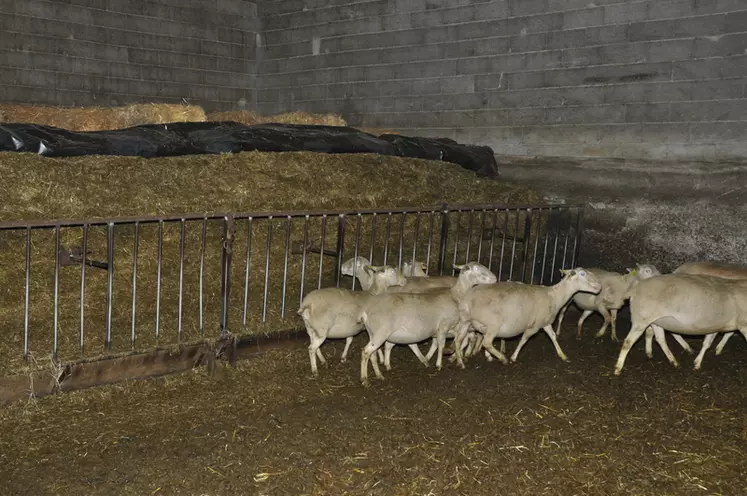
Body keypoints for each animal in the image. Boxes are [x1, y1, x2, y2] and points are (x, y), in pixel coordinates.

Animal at [360, 262, 500, 386]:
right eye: (476, 268)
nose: (494, 278)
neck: (456, 294)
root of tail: (367, 312)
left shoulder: (446, 328)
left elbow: (450, 342)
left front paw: (451, 357)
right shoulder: (445, 325)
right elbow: (443, 344)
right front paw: (440, 363)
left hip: (377, 333)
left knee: (375, 353)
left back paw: (381, 373)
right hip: (381, 333)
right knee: (366, 352)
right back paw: (365, 379)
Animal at [450, 268, 600, 368]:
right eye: (583, 274)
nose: (599, 287)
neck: (555, 296)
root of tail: (469, 300)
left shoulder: (545, 322)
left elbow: (553, 337)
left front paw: (562, 355)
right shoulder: (534, 326)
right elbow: (523, 340)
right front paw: (513, 357)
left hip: (466, 320)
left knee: (458, 340)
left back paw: (460, 362)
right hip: (493, 324)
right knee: (486, 342)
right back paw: (502, 358)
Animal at [612, 274, 747, 374]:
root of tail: (635, 288)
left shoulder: (716, 325)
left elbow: (709, 342)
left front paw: (698, 362)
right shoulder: (743, 324)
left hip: (655, 321)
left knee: (659, 339)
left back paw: (671, 360)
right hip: (641, 319)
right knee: (628, 342)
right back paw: (618, 368)